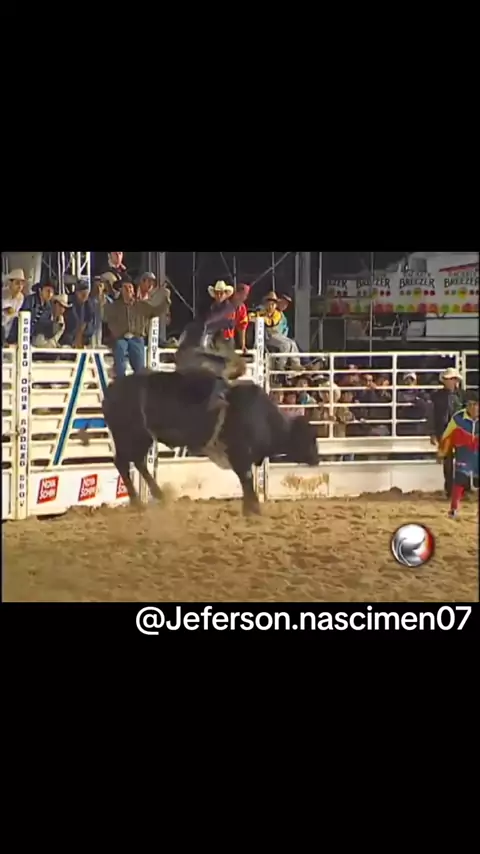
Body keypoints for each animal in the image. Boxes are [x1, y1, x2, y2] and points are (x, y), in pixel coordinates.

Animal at [85, 369, 319, 515]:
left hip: (140, 438)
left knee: (136, 462)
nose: (317, 459)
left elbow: (246, 480)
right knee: (124, 463)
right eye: (308, 438)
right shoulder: (239, 453)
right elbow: (246, 478)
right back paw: (138, 501)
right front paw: (253, 508)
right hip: (130, 435)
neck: (264, 418)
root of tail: (111, 392)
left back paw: (157, 496)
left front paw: (249, 507)